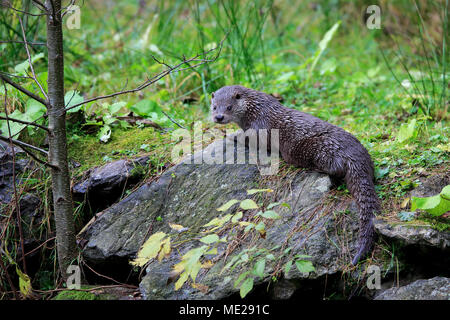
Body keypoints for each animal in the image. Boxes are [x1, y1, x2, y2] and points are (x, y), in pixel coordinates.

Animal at [211, 85, 380, 264]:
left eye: (229, 107)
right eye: (214, 107)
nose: (219, 117)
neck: (256, 110)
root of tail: (357, 157)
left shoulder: (260, 128)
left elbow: (252, 140)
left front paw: (231, 135)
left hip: (323, 149)